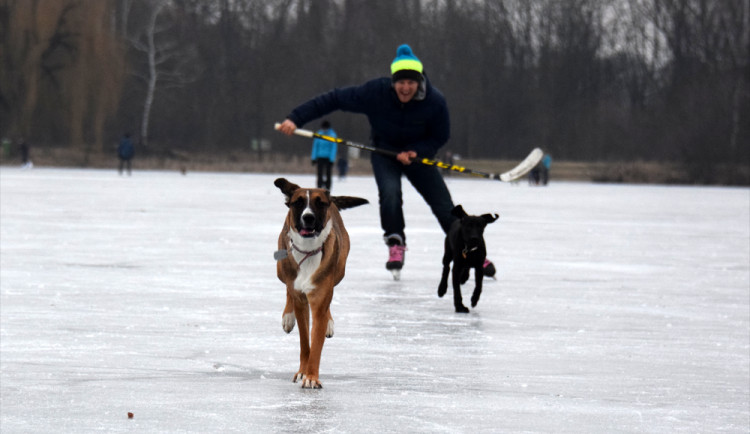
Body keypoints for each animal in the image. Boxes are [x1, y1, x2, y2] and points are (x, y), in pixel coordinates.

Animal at [276, 178, 370, 388]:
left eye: (320, 203)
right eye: (298, 202)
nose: (308, 217)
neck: (308, 250)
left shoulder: (320, 298)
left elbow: (316, 343)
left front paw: (311, 376)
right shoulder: (301, 301)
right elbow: (305, 342)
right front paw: (303, 372)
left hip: (339, 271)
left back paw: (328, 323)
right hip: (281, 265)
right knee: (287, 288)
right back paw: (288, 317)